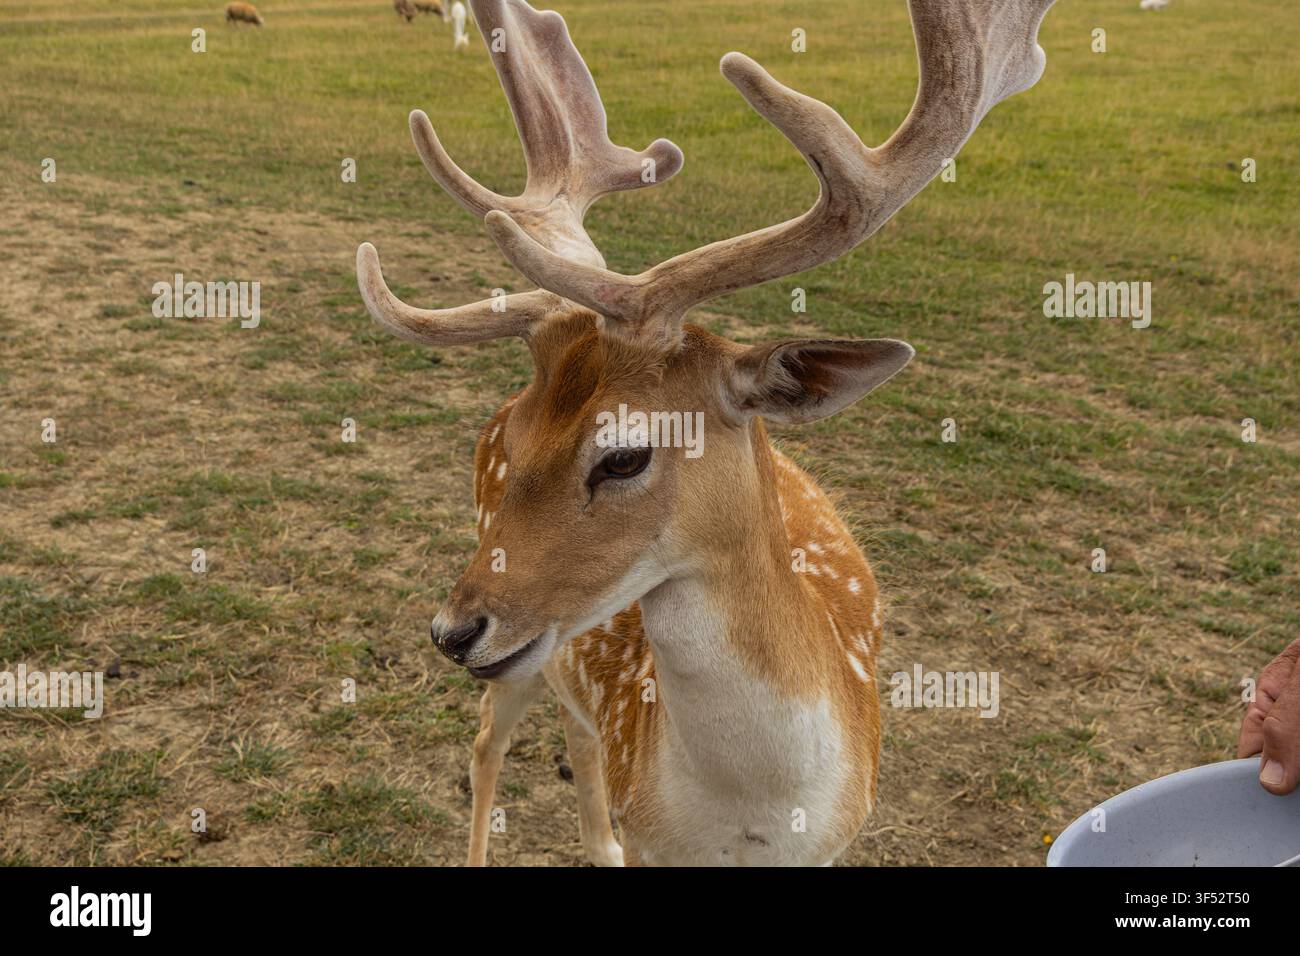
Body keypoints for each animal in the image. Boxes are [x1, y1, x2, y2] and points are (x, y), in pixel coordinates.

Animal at [356, 0, 1055, 866]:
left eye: (624, 454)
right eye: (517, 437)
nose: (452, 631)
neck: (754, 819)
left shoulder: (838, 841)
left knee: (578, 738)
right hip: (524, 665)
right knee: (489, 745)